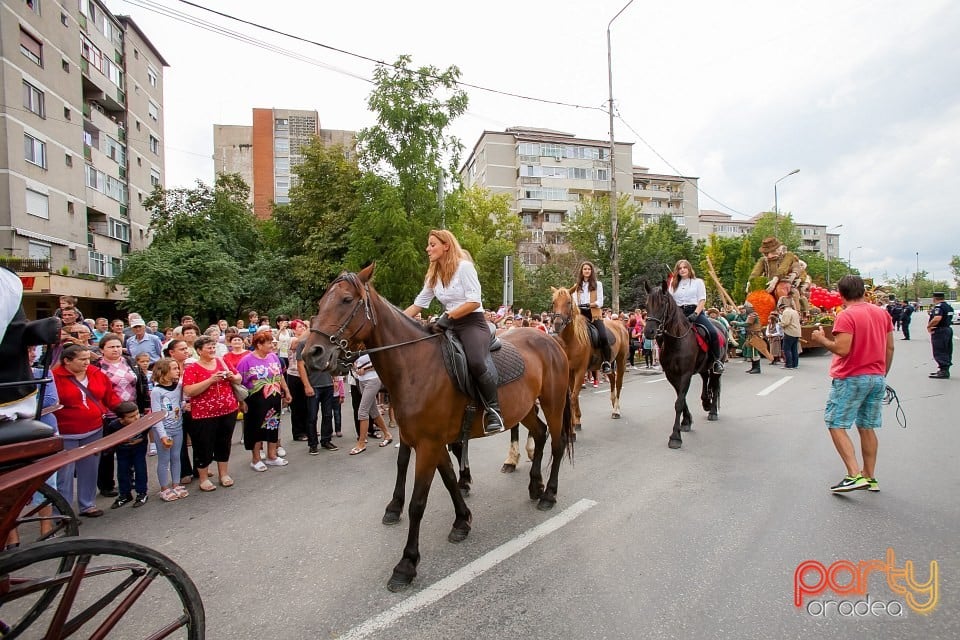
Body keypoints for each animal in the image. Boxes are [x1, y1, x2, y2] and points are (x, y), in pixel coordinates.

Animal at [302, 264, 568, 592]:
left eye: (346, 300)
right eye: (321, 302)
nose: (311, 353)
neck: (416, 366)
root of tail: (551, 339)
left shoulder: (428, 444)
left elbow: (418, 502)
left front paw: (406, 564)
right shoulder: (427, 440)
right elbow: (449, 479)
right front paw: (462, 521)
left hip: (554, 402)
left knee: (557, 443)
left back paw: (548, 495)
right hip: (525, 407)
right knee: (540, 434)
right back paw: (534, 485)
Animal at [548, 288, 632, 432]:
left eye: (568, 302)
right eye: (554, 302)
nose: (557, 324)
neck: (571, 340)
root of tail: (619, 324)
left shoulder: (580, 371)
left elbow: (574, 396)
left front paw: (575, 423)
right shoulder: (570, 371)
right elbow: (572, 396)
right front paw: (576, 420)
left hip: (621, 361)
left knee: (619, 383)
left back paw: (616, 410)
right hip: (607, 364)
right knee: (612, 378)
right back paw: (613, 402)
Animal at [640, 280, 724, 450]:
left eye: (662, 304)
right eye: (646, 305)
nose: (649, 332)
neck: (676, 341)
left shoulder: (685, 373)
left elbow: (679, 402)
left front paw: (675, 437)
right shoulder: (671, 374)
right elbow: (681, 397)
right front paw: (686, 421)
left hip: (716, 367)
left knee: (715, 385)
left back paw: (712, 411)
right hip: (703, 367)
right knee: (705, 379)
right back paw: (706, 401)